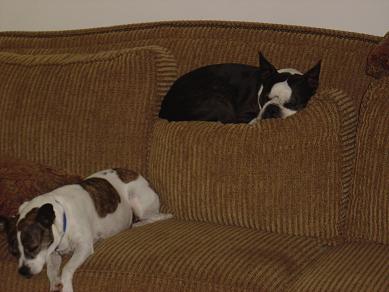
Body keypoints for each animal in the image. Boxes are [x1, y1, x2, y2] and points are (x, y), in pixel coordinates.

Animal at [0, 169, 173, 292]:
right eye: (14, 252)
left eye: (33, 247)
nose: (23, 272)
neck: (63, 215)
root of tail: (138, 174)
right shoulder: (52, 252)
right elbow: (51, 269)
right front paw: (55, 282)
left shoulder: (83, 247)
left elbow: (67, 268)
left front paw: (66, 286)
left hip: (139, 204)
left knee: (160, 216)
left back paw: (140, 223)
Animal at [159, 53, 320, 124]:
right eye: (264, 98)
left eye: (293, 104)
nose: (271, 109)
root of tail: (166, 111)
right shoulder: (244, 113)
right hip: (219, 98)